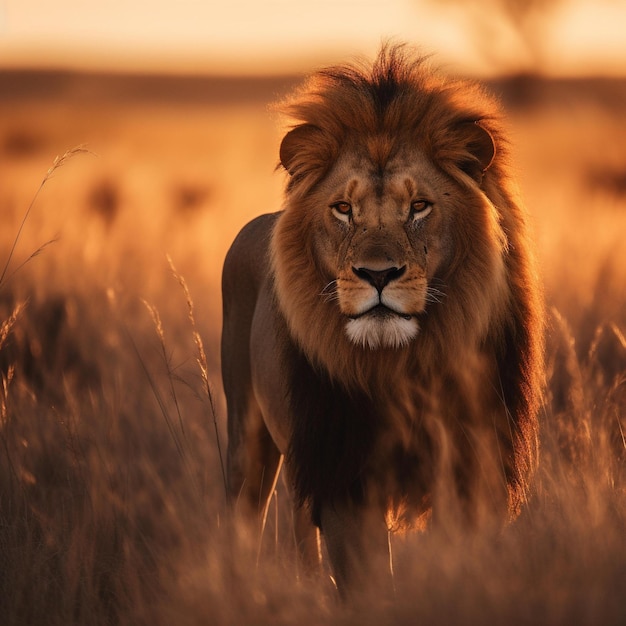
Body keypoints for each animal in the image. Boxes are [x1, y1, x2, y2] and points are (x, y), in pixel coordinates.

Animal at [221, 45, 540, 596]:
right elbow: (366, 583)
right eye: (344, 208)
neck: (403, 366)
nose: (377, 274)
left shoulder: (476, 472)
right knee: (243, 517)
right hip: (248, 437)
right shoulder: (345, 475)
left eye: (419, 206)